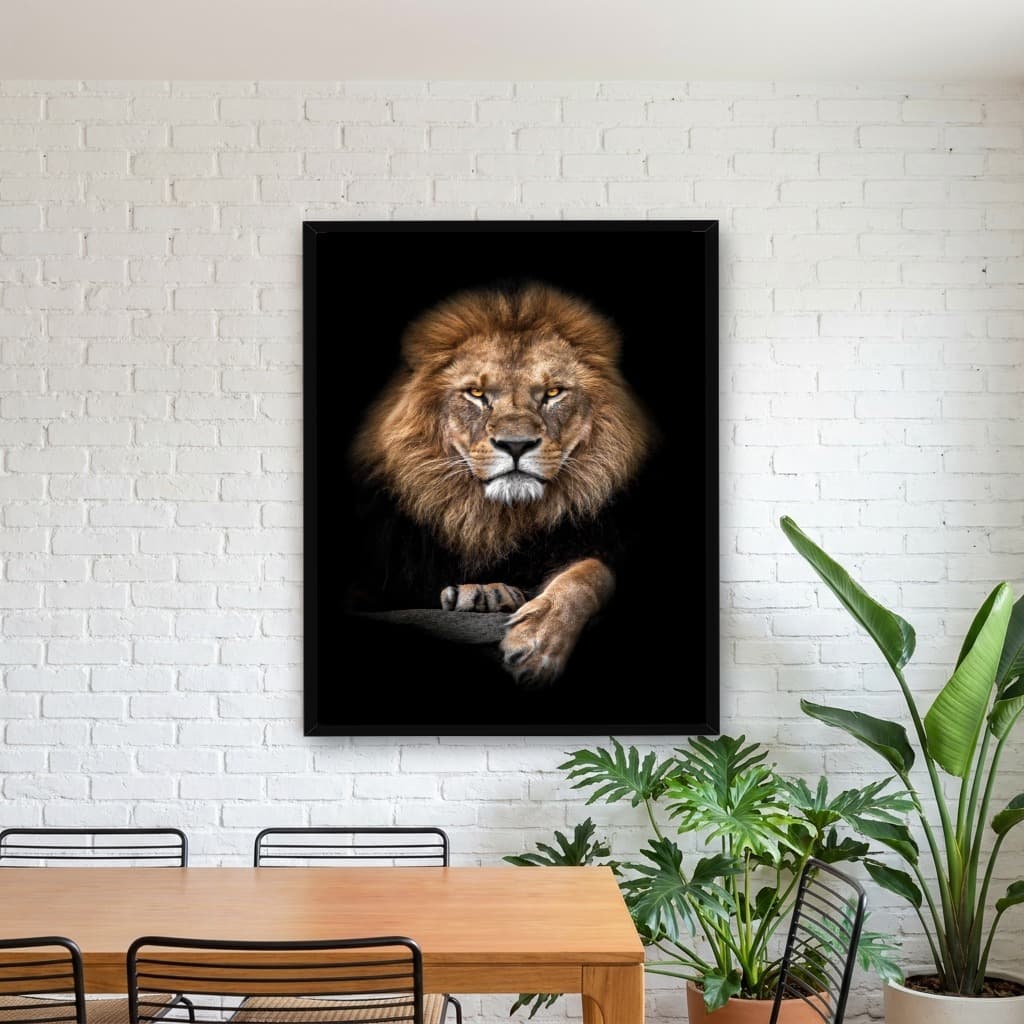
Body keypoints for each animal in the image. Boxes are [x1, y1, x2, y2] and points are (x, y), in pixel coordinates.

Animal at [348, 281, 655, 687]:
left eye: (553, 393)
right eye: (477, 394)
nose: (516, 444)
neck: (498, 520)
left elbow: (589, 574)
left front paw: (538, 642)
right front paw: (485, 594)